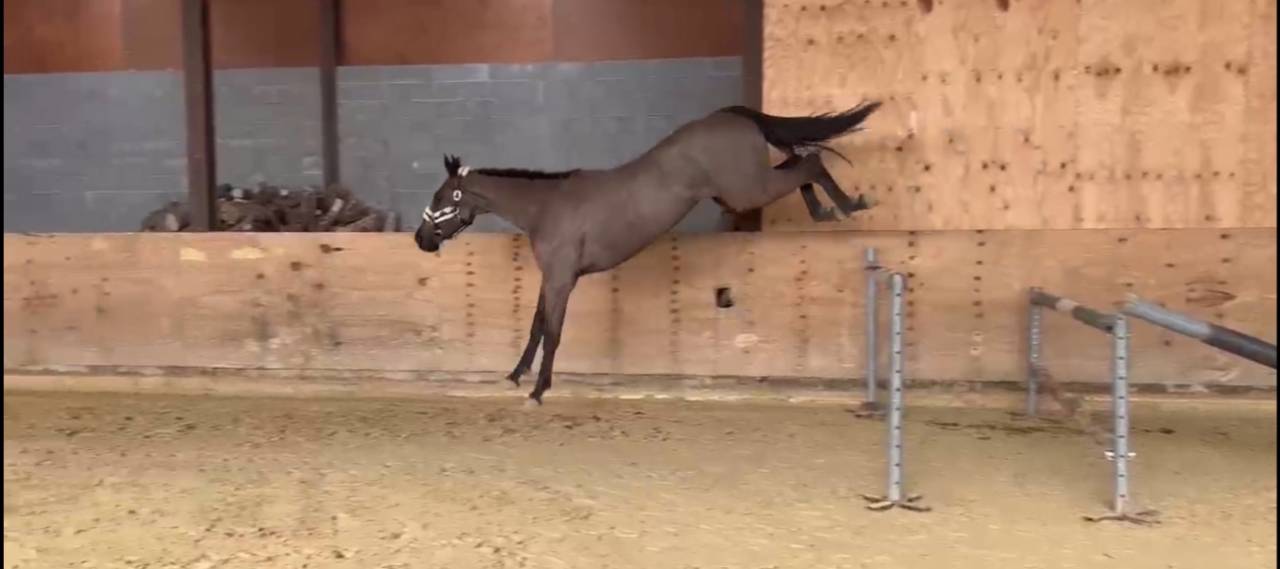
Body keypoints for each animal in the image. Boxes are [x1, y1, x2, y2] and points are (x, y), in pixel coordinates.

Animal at [414, 102, 882, 404]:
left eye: (440, 197)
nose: (421, 239)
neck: (546, 207)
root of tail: (730, 114)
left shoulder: (563, 279)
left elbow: (553, 332)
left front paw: (539, 389)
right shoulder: (551, 278)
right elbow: (535, 327)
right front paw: (515, 376)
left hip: (746, 190)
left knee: (810, 162)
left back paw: (847, 206)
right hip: (745, 189)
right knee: (801, 161)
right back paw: (829, 210)